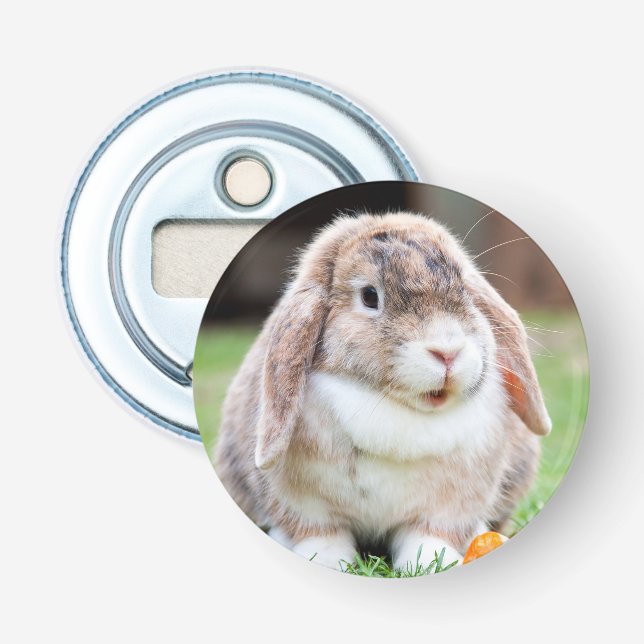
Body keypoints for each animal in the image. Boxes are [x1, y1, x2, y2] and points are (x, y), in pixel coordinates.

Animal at [214, 212, 551, 571]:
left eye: (464, 288)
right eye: (369, 296)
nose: (447, 352)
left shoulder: (449, 506)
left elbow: (428, 535)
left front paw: (431, 563)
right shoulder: (304, 503)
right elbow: (321, 533)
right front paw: (327, 560)